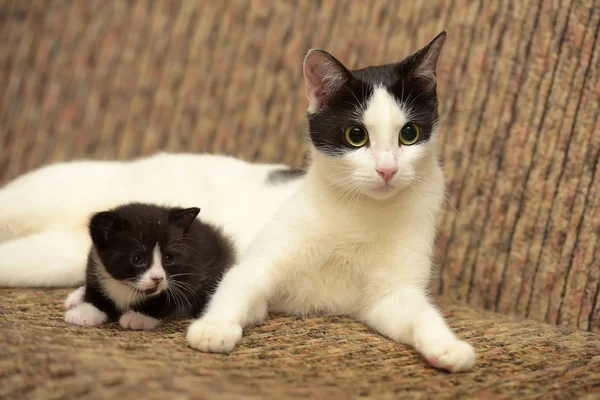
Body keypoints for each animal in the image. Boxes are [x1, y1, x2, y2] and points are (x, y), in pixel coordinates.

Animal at [64, 202, 234, 330]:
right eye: (137, 258)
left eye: (169, 258)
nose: (158, 278)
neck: (128, 286)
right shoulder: (94, 263)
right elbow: (95, 290)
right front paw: (85, 311)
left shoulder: (191, 272)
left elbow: (168, 297)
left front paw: (139, 316)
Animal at [185, 32, 476, 374]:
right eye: (356, 135)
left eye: (409, 133)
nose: (387, 170)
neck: (364, 213)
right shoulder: (263, 260)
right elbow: (240, 281)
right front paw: (214, 327)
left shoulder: (390, 295)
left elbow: (421, 313)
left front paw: (447, 345)